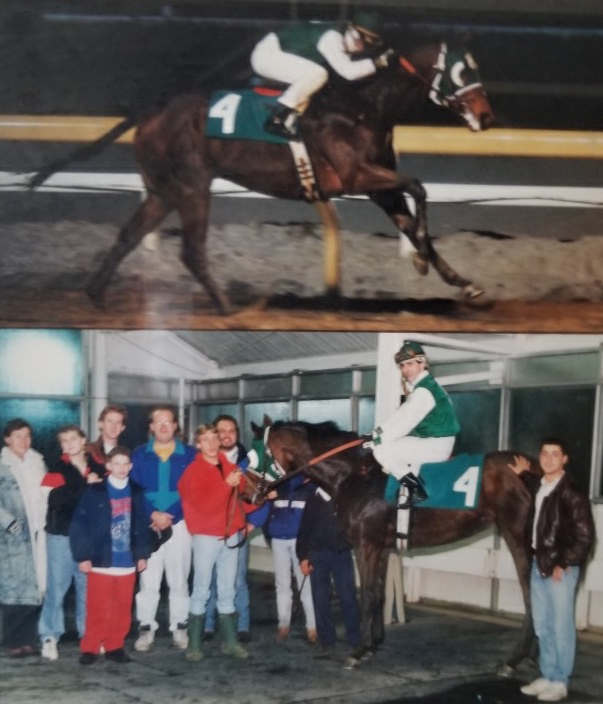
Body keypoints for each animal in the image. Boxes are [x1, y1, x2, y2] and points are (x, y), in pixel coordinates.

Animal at [29, 38, 496, 312]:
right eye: (463, 71)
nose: (488, 117)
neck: (364, 106)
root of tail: (152, 112)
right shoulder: (355, 175)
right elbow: (420, 187)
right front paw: (421, 261)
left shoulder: (379, 185)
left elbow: (414, 216)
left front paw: (460, 280)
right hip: (193, 185)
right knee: (191, 251)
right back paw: (226, 306)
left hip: (162, 191)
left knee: (129, 235)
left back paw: (96, 294)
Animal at [266, 418, 540, 672]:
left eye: (264, 450)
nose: (259, 490)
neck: (353, 473)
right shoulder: (381, 547)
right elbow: (379, 592)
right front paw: (373, 644)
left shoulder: (366, 544)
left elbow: (368, 594)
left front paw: (359, 650)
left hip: (518, 537)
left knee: (530, 593)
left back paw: (515, 659)